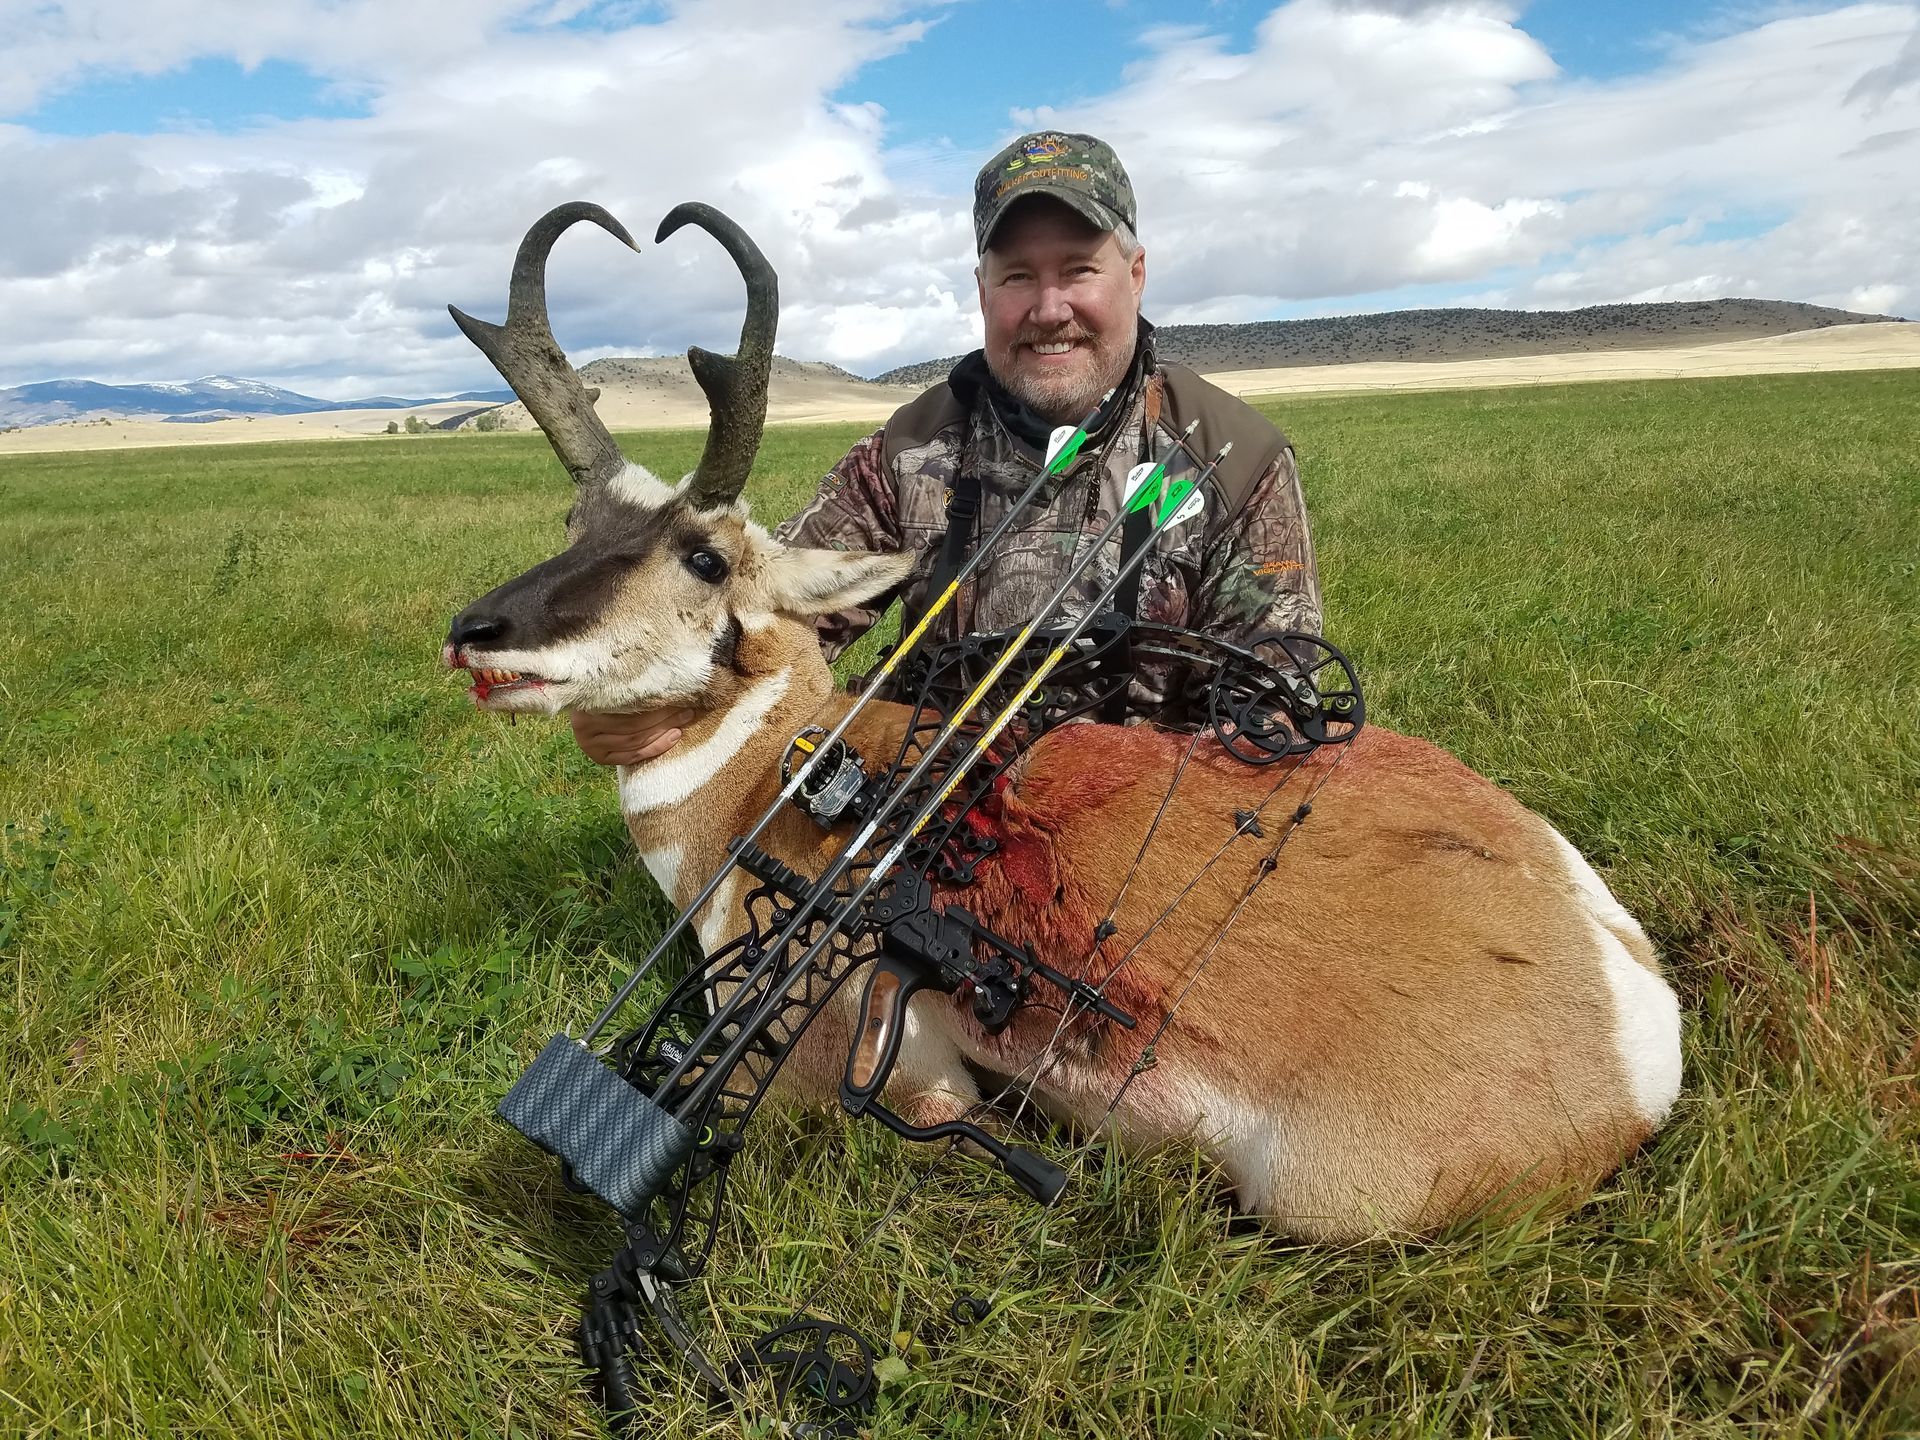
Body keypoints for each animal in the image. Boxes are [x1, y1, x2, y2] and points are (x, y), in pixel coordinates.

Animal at [445, 202, 1682, 1241]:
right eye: (576, 520)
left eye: (703, 556)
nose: (475, 630)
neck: (781, 774)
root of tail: (1631, 1008)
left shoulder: (860, 1064)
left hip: (1325, 1193)